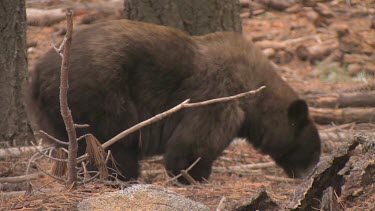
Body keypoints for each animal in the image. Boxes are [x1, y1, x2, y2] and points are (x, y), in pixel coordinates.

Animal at [30, 20, 322, 184]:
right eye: (313, 149)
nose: (310, 172)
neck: (251, 89)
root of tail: (39, 73)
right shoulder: (218, 95)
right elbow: (196, 141)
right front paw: (192, 175)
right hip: (100, 94)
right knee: (110, 141)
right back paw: (119, 175)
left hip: (53, 115)